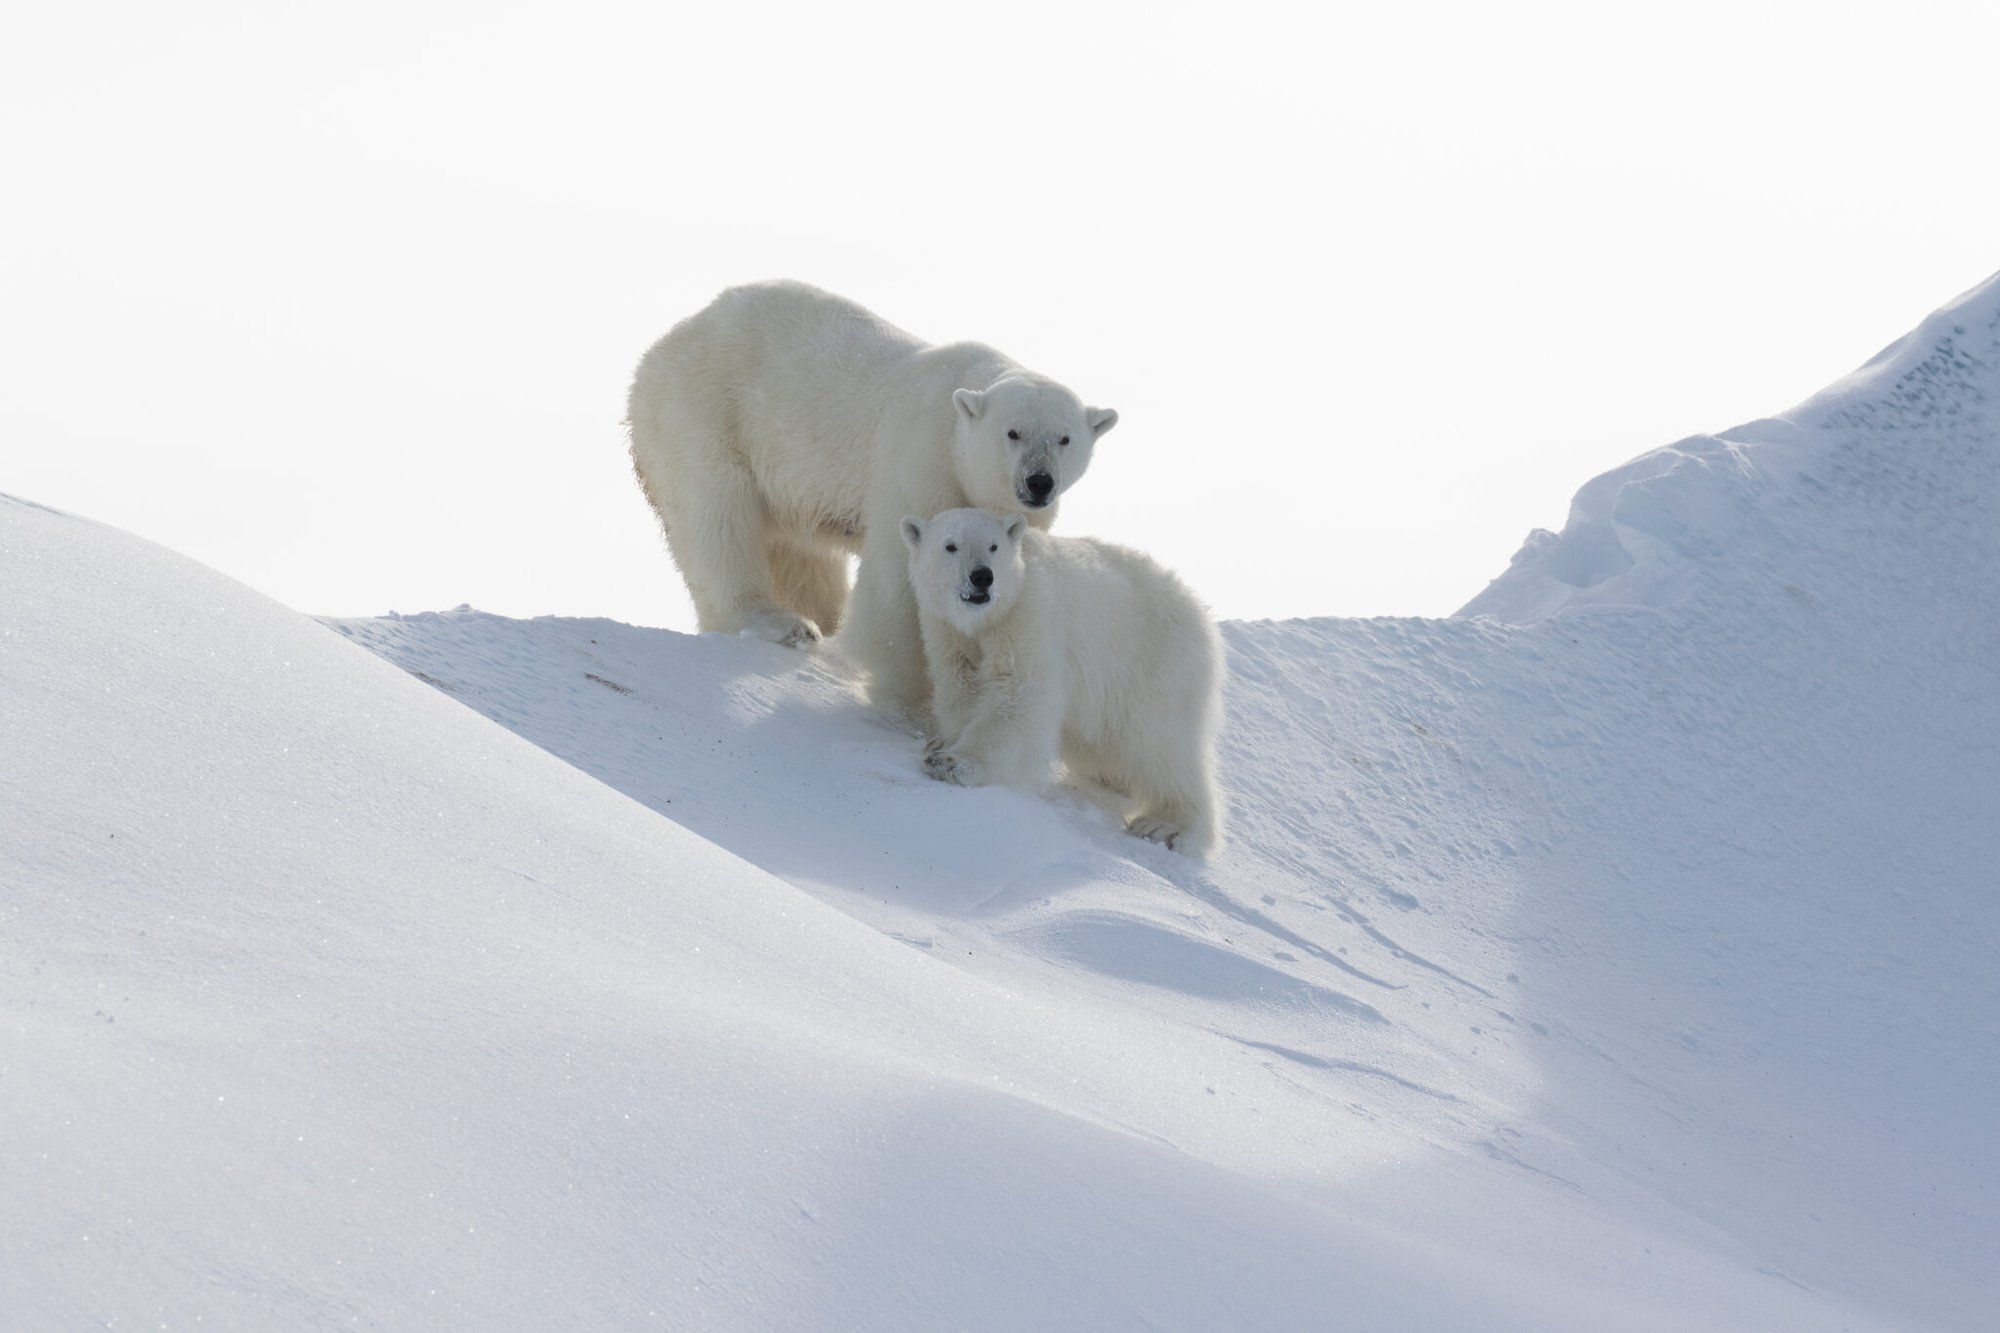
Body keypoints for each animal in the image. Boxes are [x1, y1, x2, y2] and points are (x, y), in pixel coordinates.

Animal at [624, 280, 1120, 712]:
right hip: (706, 412)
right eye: (1013, 433)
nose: (1038, 482)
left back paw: (822, 619)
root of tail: (662, 346)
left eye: (1065, 438)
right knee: (717, 516)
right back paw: (781, 623)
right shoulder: (920, 458)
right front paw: (907, 689)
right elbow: (899, 572)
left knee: (800, 554)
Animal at [904, 504, 1216, 856]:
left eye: (994, 546)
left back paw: (1165, 826)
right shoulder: (946, 628)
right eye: (950, 545)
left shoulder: (1029, 612)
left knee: (1162, 742)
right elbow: (960, 683)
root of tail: (1200, 613)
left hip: (1156, 662)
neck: (986, 619)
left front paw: (952, 762)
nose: (982, 577)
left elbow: (1017, 690)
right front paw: (943, 740)